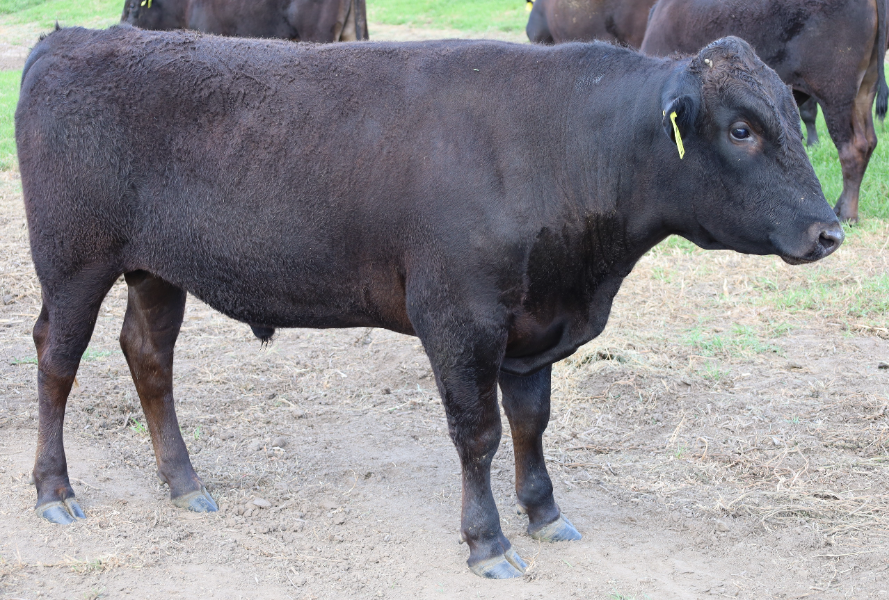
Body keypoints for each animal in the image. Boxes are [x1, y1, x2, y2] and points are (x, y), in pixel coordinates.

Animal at [16, 27, 843, 578]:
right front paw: (487, 542)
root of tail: (75, 38)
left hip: (155, 268)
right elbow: (476, 434)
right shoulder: (458, 317)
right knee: (57, 360)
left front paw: (545, 514)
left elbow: (531, 422)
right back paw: (54, 490)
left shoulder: (532, 324)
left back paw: (186, 484)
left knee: (148, 357)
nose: (827, 229)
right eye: (740, 128)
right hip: (74, 260)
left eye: (791, 118)